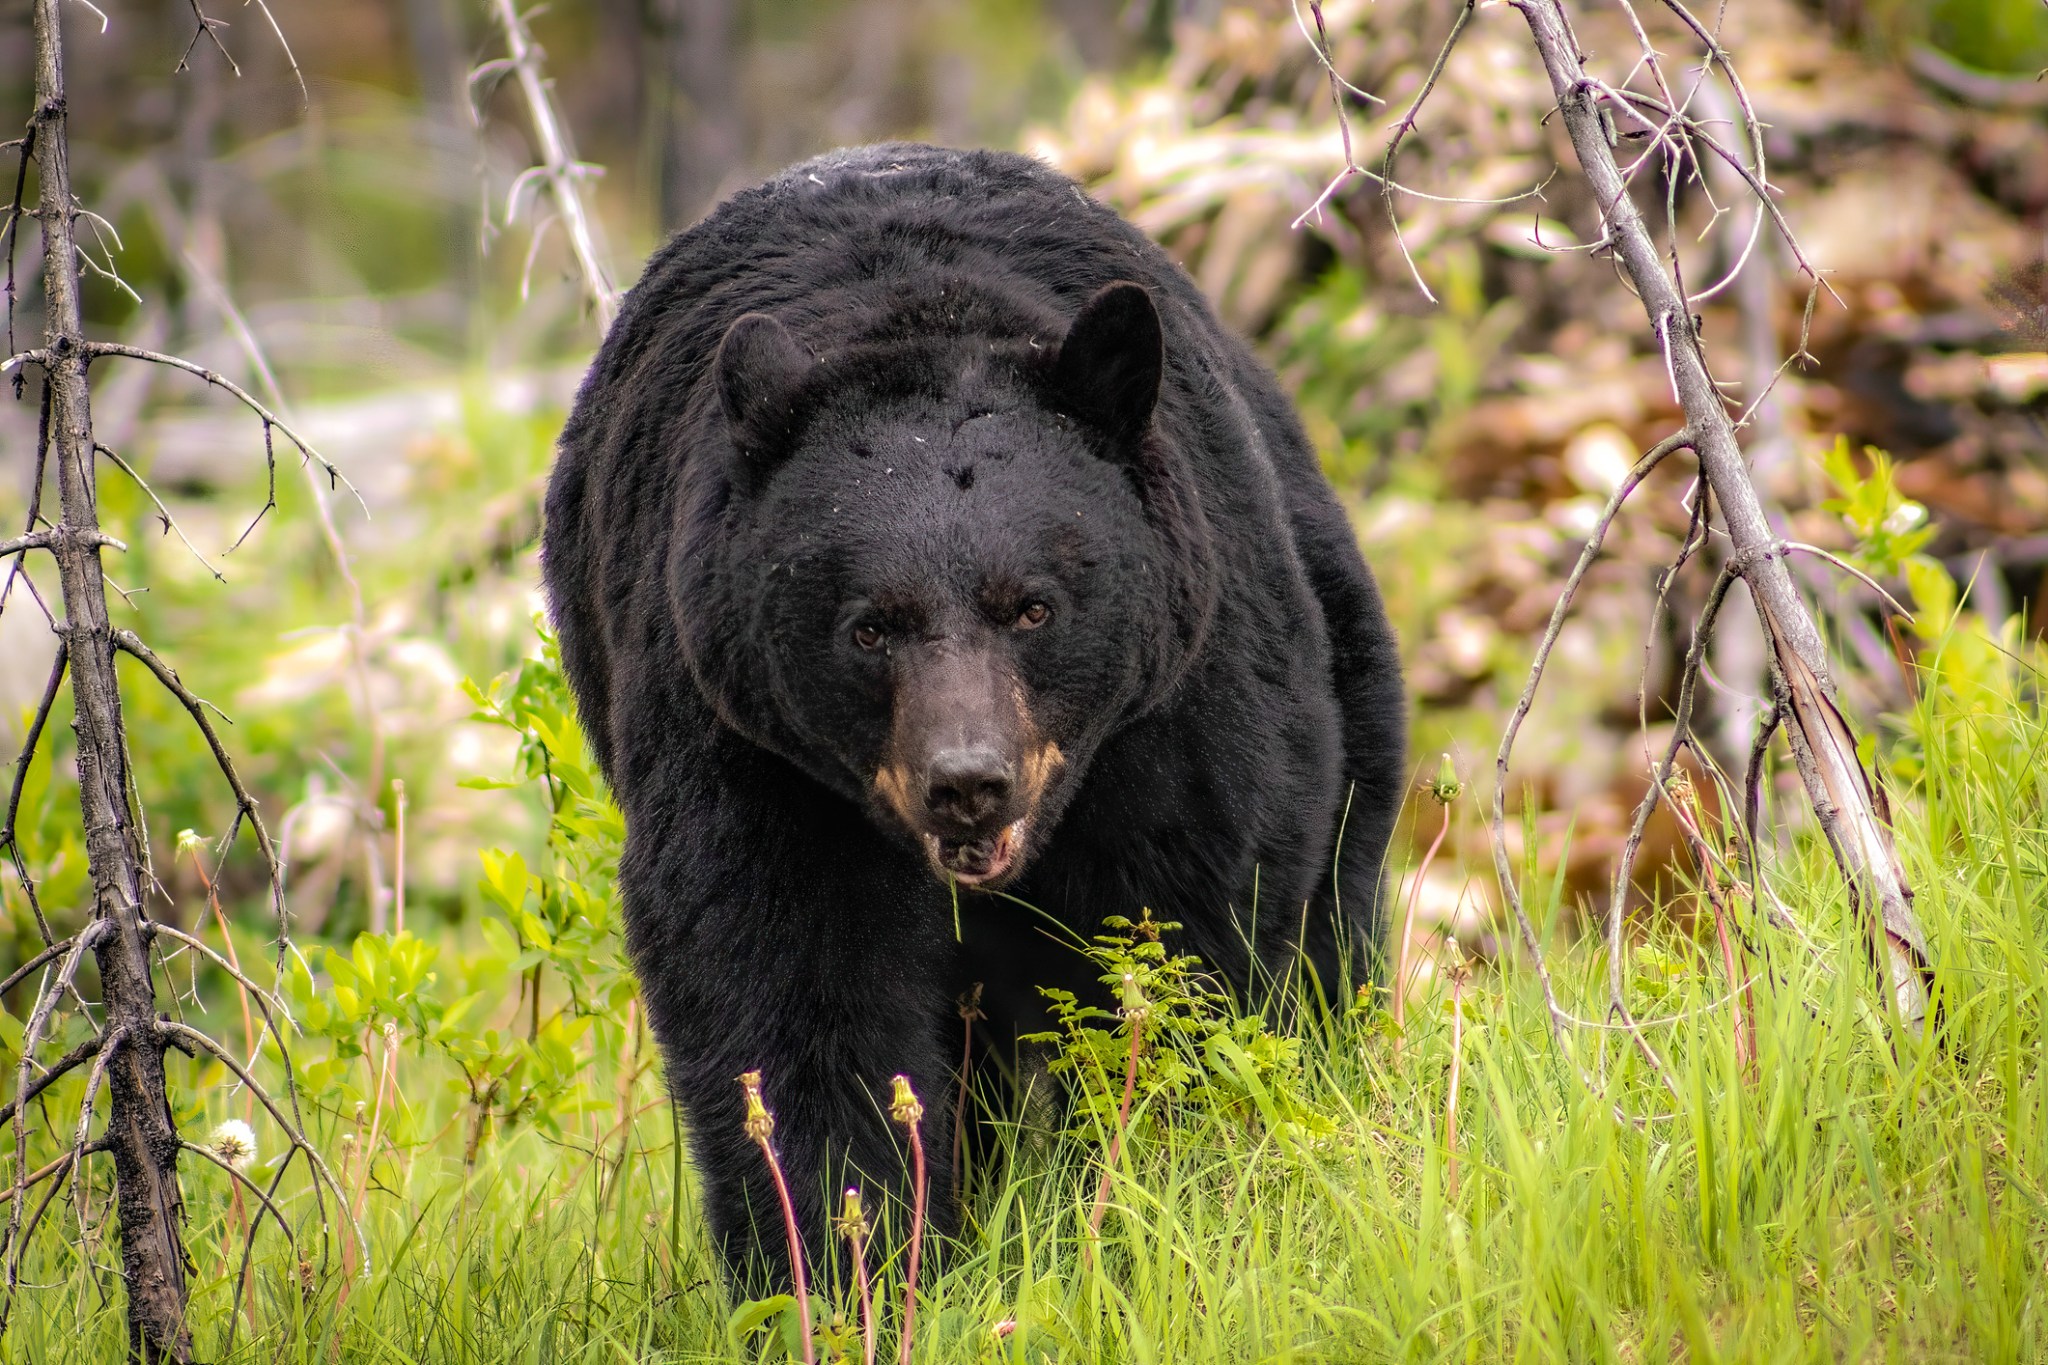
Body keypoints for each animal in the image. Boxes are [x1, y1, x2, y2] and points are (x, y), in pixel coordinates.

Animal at [544, 144, 1409, 1285]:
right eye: (870, 627)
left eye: (1033, 605)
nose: (966, 781)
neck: (921, 316)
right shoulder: (741, 736)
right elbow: (789, 985)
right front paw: (847, 1261)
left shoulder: (1179, 702)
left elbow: (1181, 937)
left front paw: (1155, 1202)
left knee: (1336, 910)